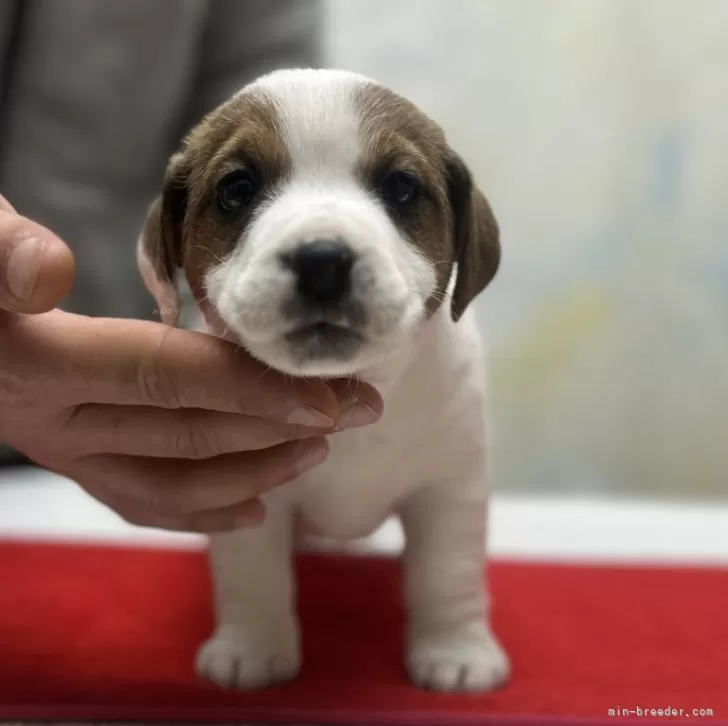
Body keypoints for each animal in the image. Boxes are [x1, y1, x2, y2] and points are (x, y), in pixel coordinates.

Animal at [139, 69, 510, 700]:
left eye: (401, 188)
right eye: (237, 189)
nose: (322, 260)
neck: (348, 386)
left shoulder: (449, 488)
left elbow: (447, 574)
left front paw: (456, 649)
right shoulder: (248, 492)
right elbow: (251, 576)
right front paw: (253, 647)